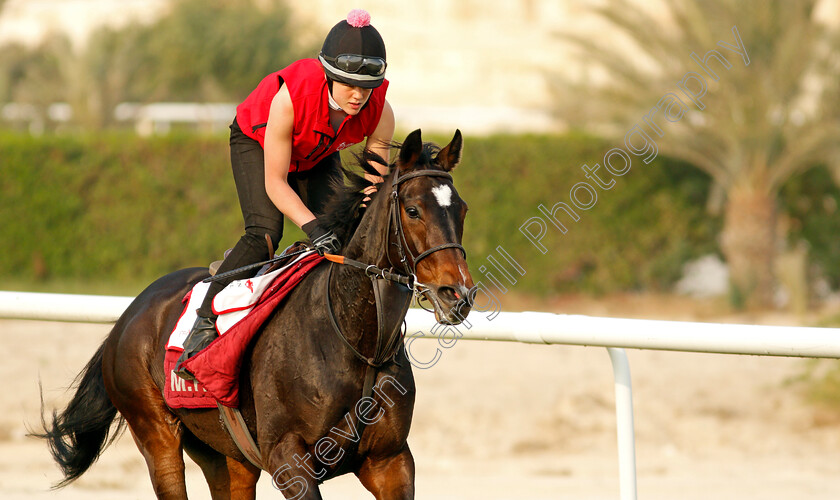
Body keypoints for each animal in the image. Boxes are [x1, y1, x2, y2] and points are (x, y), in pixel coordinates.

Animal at [36, 130, 472, 500]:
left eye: (463, 209)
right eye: (413, 209)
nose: (459, 294)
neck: (355, 338)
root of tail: (128, 315)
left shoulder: (389, 460)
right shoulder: (289, 461)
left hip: (226, 455)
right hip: (156, 434)